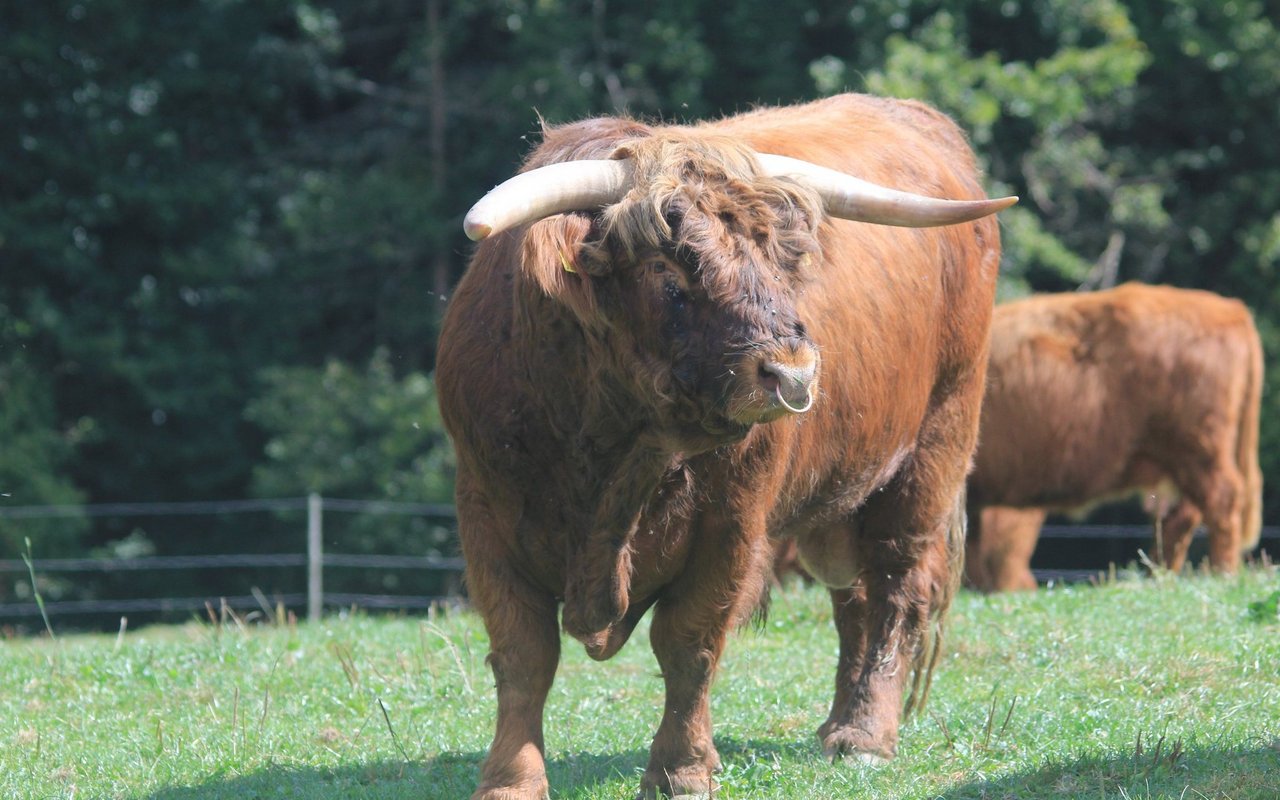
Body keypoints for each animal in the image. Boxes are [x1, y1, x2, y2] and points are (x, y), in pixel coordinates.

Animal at [435, 90, 1013, 793]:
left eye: (783, 263)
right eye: (669, 274)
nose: (793, 373)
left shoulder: (731, 523)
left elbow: (689, 642)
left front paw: (681, 771)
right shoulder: (485, 512)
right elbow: (523, 653)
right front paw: (510, 779)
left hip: (933, 450)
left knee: (896, 588)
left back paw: (865, 735)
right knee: (853, 596)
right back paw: (837, 726)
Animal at [967, 284, 1259, 588]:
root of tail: (1230, 309)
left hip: (1198, 449)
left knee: (1221, 500)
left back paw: (1221, 573)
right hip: (1184, 461)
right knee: (1181, 518)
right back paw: (1157, 577)